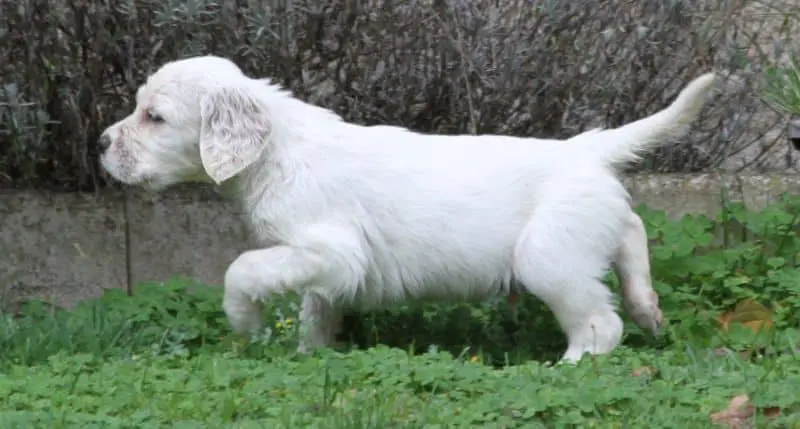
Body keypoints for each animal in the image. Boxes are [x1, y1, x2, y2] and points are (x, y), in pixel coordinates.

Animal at [98, 55, 715, 362]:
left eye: (154, 116)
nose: (101, 144)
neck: (278, 149)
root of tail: (585, 147)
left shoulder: (330, 248)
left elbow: (242, 269)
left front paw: (245, 322)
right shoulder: (327, 265)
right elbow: (317, 307)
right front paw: (312, 355)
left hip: (549, 256)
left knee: (597, 324)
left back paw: (571, 365)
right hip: (590, 227)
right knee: (631, 233)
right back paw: (648, 307)